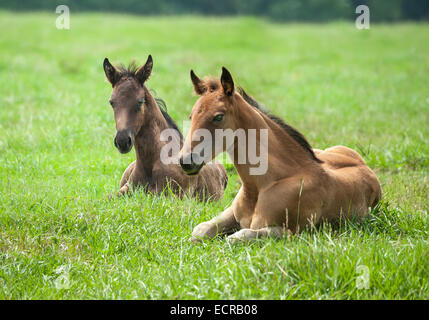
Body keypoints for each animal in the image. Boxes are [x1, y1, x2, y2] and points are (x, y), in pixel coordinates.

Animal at [103, 55, 227, 200]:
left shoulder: (171, 195)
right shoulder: (127, 188)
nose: (122, 141)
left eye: (140, 101)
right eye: (112, 102)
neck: (150, 163)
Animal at [179, 67, 380, 242]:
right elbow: (200, 230)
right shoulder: (231, 212)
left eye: (218, 116)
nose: (185, 161)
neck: (262, 185)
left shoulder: (293, 232)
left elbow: (237, 237)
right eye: (191, 116)